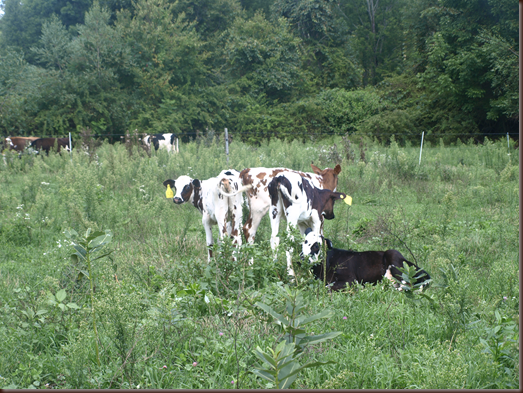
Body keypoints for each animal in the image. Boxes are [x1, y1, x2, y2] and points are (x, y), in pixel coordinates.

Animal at [300, 227, 432, 290]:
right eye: (304, 242)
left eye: (316, 245)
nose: (302, 257)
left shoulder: (351, 280)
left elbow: (327, 287)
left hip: (394, 257)